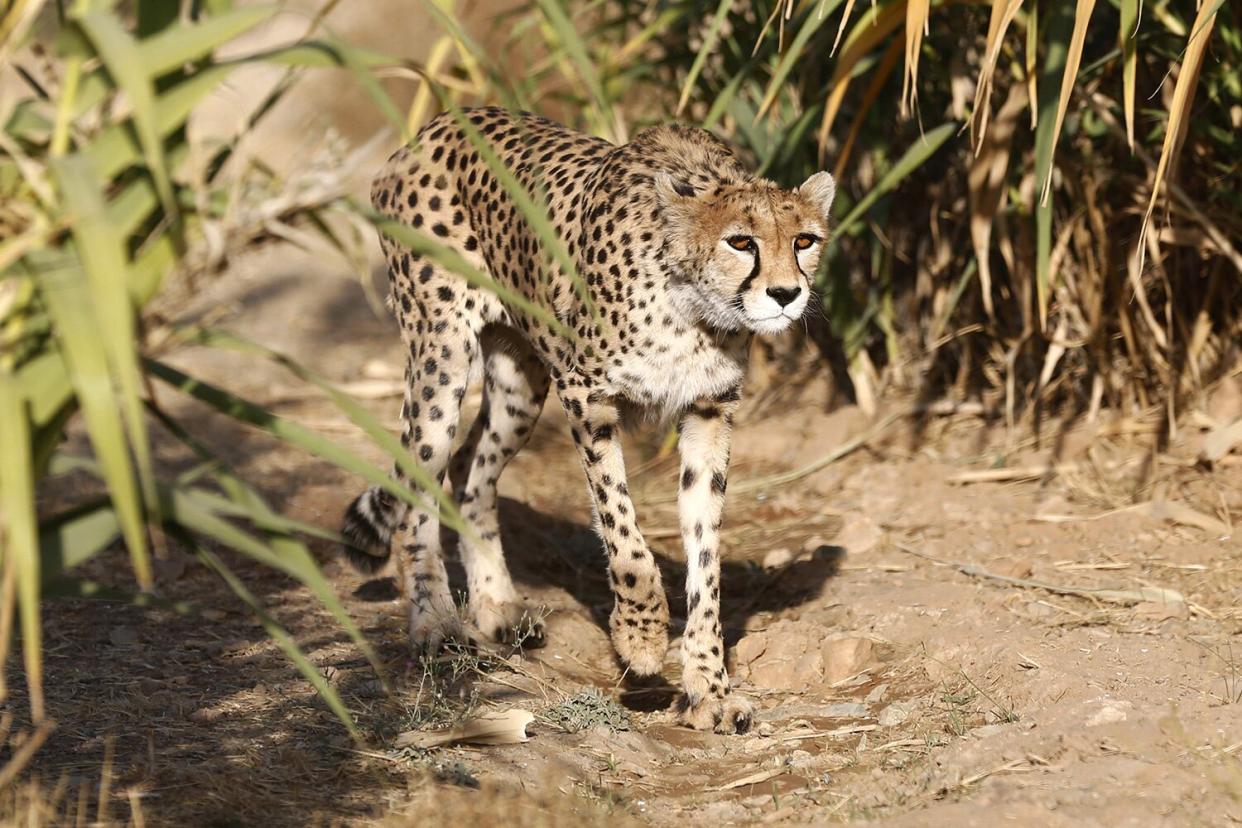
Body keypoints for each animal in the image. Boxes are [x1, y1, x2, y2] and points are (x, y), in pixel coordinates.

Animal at [342, 106, 834, 734]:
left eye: (804, 241)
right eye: (740, 241)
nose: (786, 294)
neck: (694, 309)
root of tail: (436, 125)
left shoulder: (708, 412)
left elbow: (705, 555)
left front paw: (709, 689)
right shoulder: (587, 397)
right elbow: (624, 534)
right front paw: (641, 638)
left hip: (520, 381)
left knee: (471, 470)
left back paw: (496, 605)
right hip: (442, 357)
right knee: (419, 482)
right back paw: (435, 623)